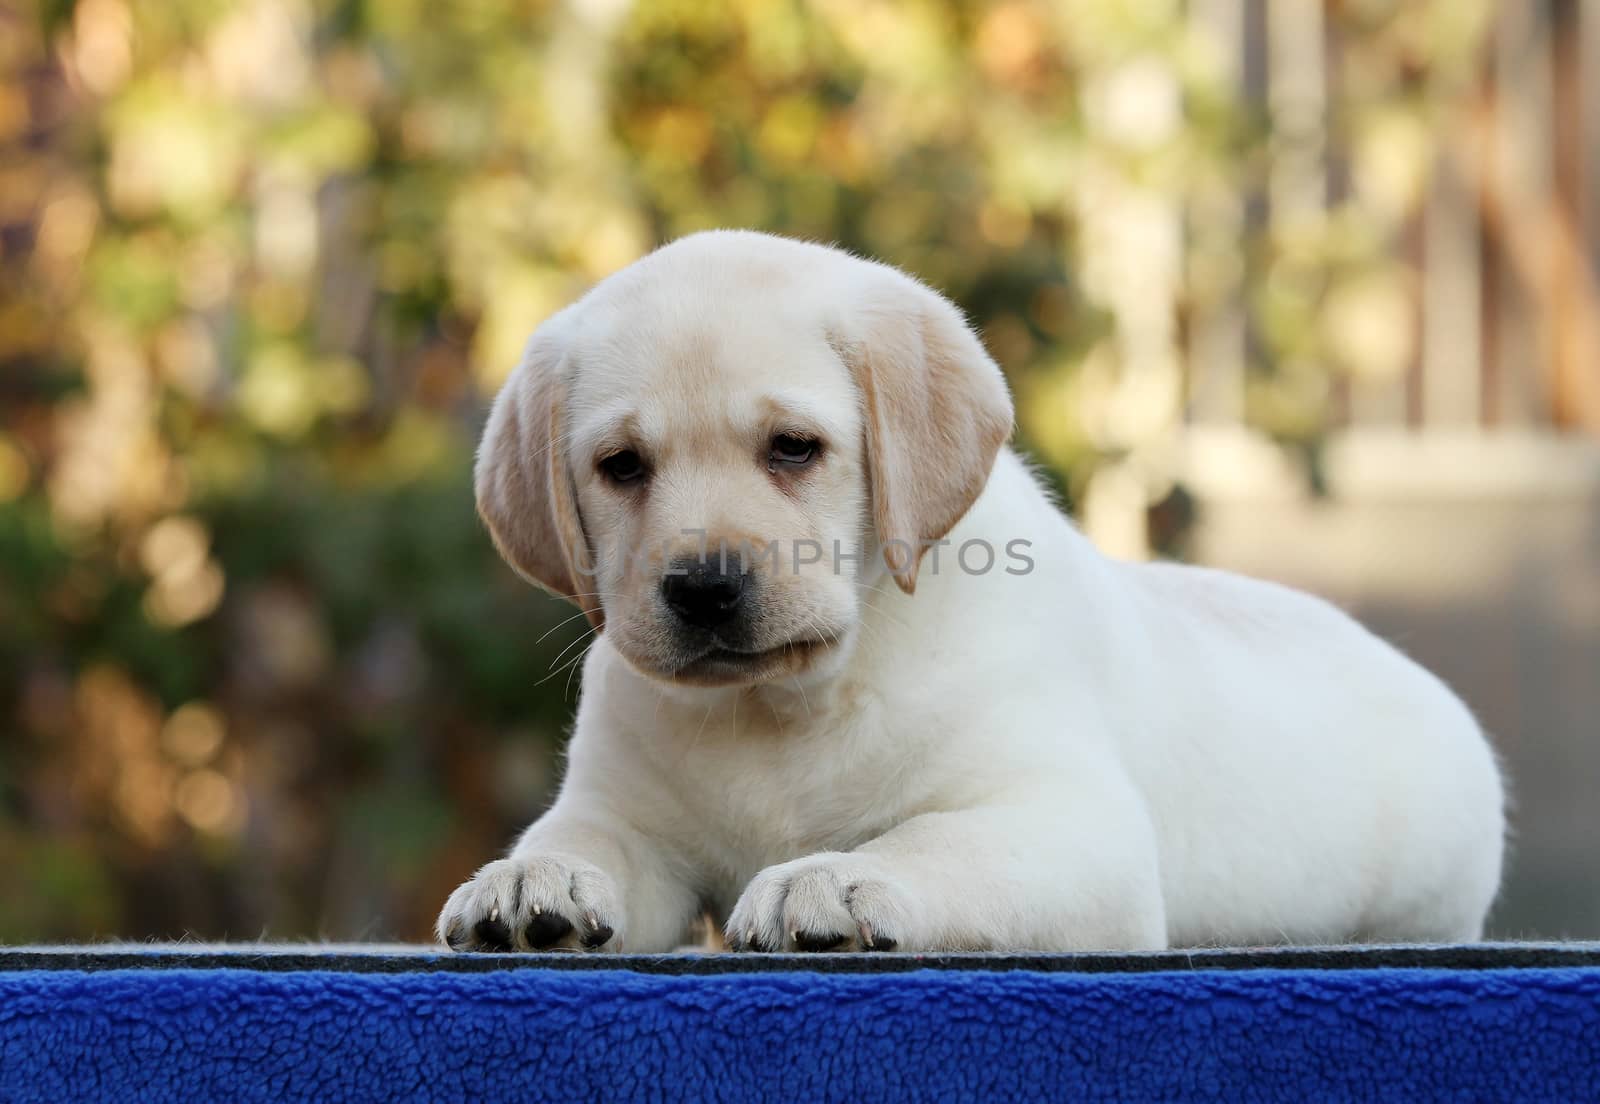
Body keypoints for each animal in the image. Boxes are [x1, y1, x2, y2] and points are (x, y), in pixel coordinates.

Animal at [435, 227, 1497, 947]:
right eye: (620, 466)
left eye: (793, 448)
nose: (702, 587)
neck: (784, 710)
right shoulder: (627, 818)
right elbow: (582, 840)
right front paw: (530, 882)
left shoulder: (1070, 826)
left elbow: (926, 844)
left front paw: (830, 881)